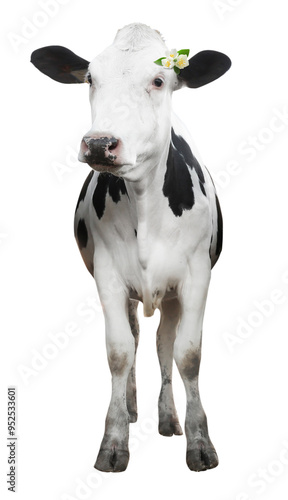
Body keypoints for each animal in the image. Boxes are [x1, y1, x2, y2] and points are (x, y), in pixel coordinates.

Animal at [30, 21, 231, 470]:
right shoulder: (107, 276)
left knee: (162, 345)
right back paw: (134, 406)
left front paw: (199, 441)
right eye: (91, 78)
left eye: (158, 80)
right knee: (139, 338)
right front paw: (114, 439)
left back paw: (168, 418)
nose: (100, 143)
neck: (144, 207)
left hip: (171, 295)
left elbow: (187, 354)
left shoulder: (196, 277)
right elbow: (120, 352)